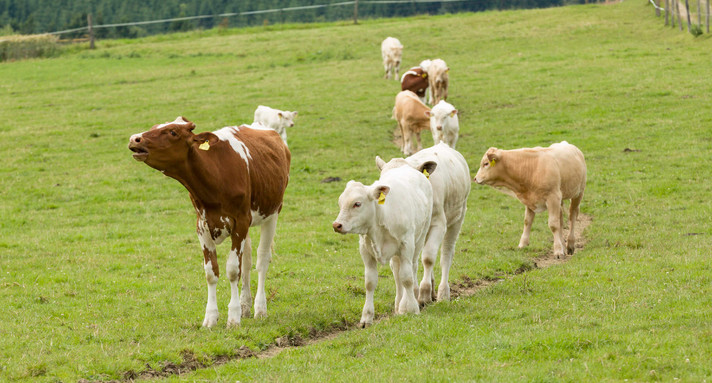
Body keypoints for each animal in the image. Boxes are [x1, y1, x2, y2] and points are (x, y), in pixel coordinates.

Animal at [129, 116, 290, 328]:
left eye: (173, 132)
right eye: (155, 127)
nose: (135, 138)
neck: (215, 179)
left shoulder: (240, 222)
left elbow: (233, 270)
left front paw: (233, 317)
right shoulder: (202, 226)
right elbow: (211, 272)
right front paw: (211, 317)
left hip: (272, 214)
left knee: (262, 261)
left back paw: (259, 308)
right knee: (247, 262)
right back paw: (246, 305)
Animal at [332, 162, 434, 328]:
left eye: (357, 204)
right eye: (340, 203)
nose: (337, 225)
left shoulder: (406, 245)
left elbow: (407, 278)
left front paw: (412, 308)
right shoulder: (365, 251)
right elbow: (370, 282)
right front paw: (366, 317)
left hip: (420, 238)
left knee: (411, 269)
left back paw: (408, 301)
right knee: (397, 273)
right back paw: (399, 304)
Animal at [376, 142, 470, 304]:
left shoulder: (439, 223)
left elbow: (428, 257)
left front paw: (424, 292)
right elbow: (397, 265)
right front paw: (406, 297)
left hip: (457, 217)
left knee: (446, 254)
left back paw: (443, 292)